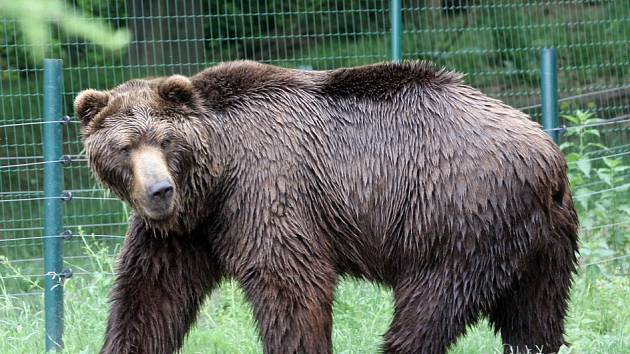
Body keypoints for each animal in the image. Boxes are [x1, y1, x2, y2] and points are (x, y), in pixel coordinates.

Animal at [75, 61, 584, 354]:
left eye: (165, 141)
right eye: (124, 147)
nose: (159, 190)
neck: (215, 177)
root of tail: (548, 155)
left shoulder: (265, 191)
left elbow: (291, 285)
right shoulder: (185, 231)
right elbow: (150, 295)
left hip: (458, 216)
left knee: (429, 309)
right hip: (545, 243)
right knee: (535, 319)